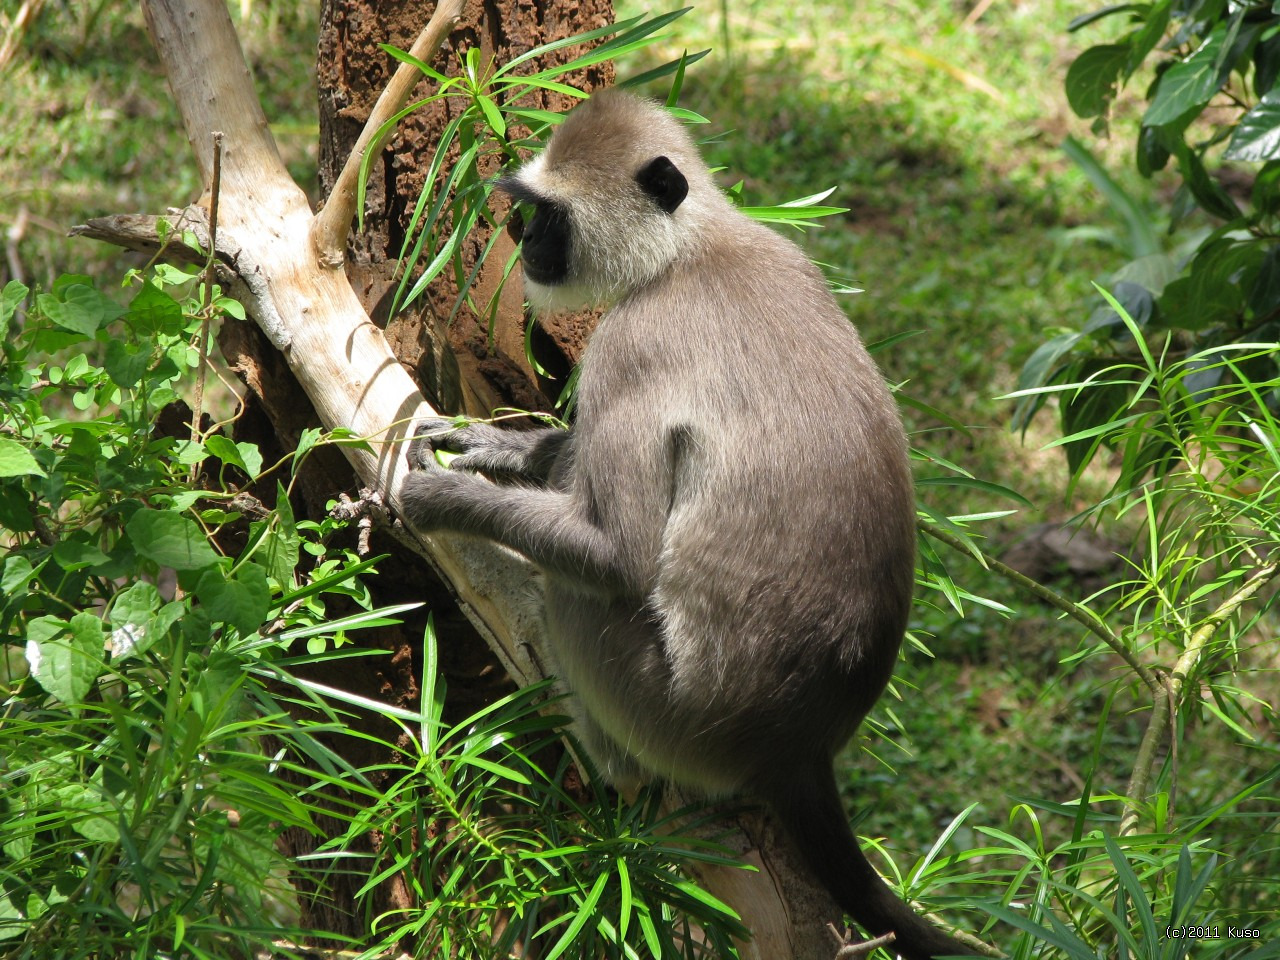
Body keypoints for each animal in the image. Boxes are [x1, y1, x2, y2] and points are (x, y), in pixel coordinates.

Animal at [399, 90, 977, 960]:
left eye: (550, 216)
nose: (523, 241)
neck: (691, 251)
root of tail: (800, 747)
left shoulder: (630, 344)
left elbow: (618, 557)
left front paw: (440, 501)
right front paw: (504, 447)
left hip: (664, 708)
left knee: (579, 596)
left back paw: (612, 764)